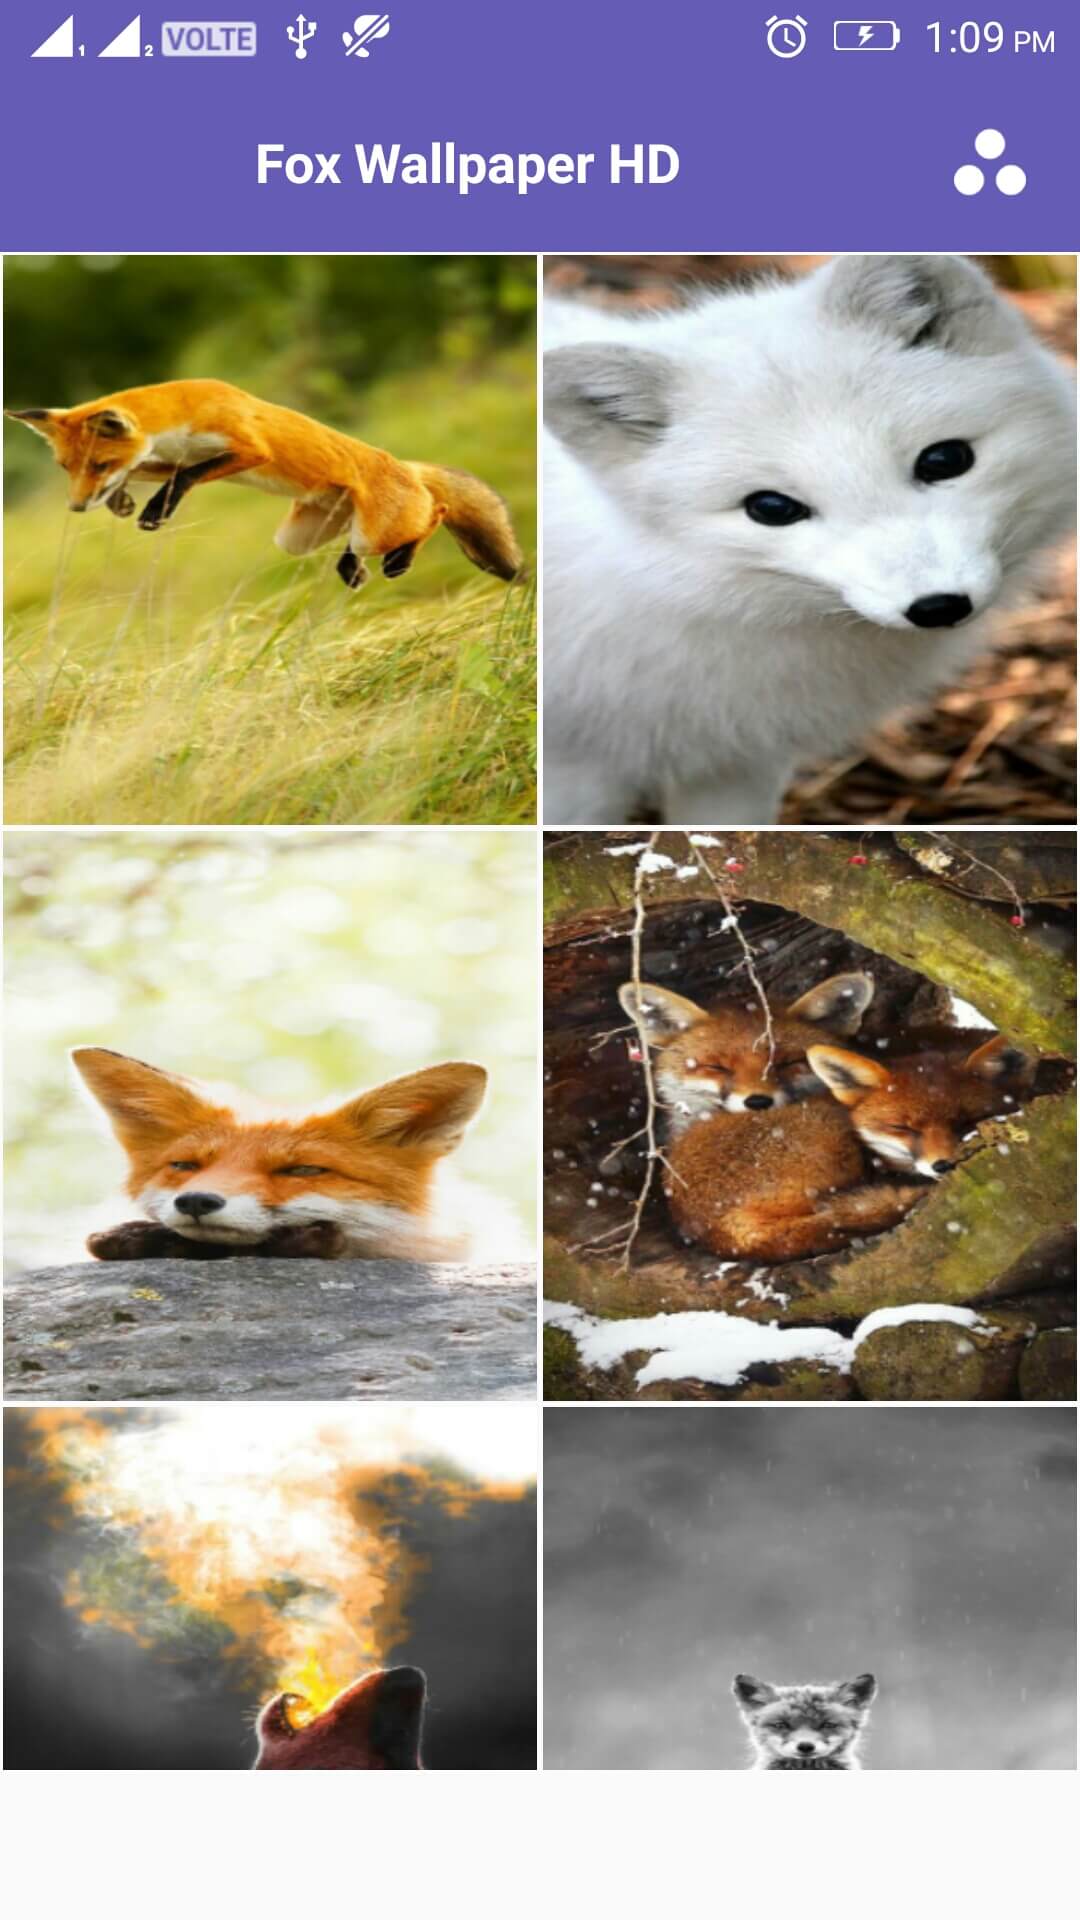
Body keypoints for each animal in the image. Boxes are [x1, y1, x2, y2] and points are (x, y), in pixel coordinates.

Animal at [6, 378, 521, 590]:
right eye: (67, 469)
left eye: (97, 464)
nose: (75, 508)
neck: (184, 412)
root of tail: (404, 466)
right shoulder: (164, 457)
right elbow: (151, 470)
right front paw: (124, 502)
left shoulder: (249, 450)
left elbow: (186, 477)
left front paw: (155, 510)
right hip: (299, 538)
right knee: (356, 547)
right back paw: (352, 569)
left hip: (379, 529)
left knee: (436, 512)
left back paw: (400, 560)